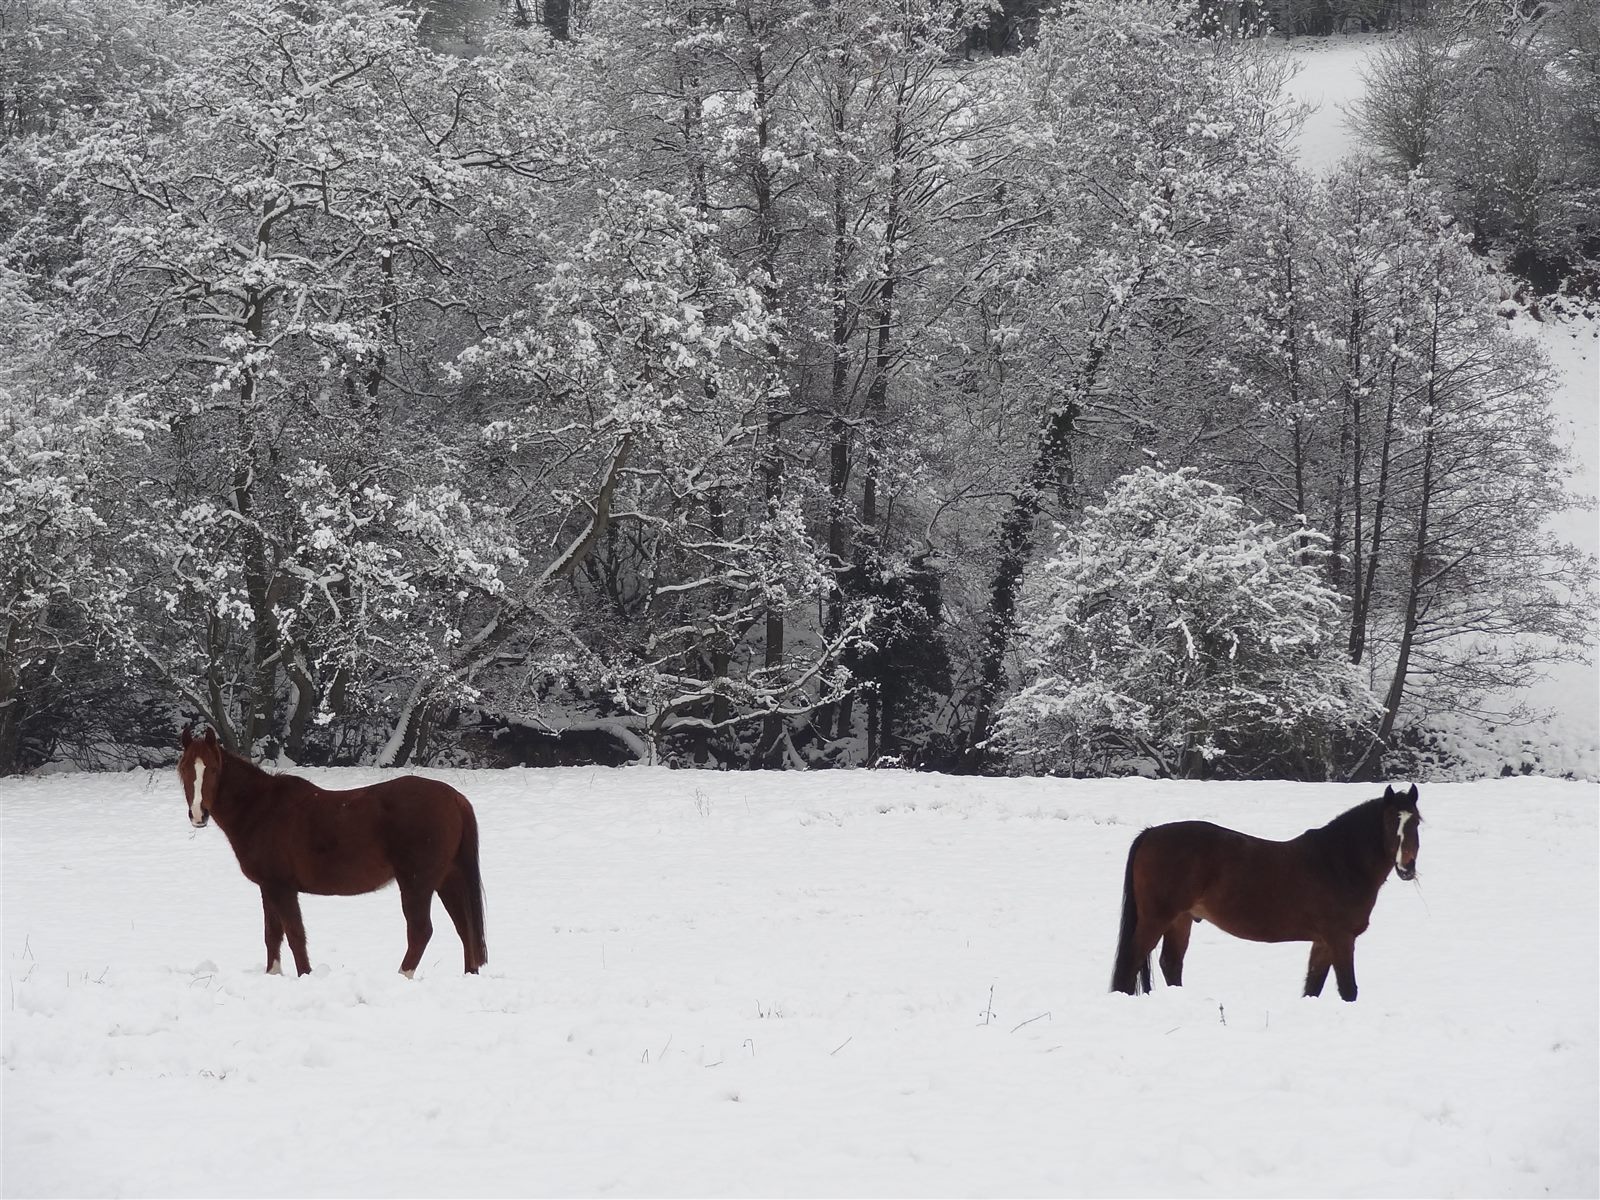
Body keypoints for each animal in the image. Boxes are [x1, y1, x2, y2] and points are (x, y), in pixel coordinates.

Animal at [177, 727, 487, 978]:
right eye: (184, 770)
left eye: (213, 769)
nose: (198, 814)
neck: (262, 809)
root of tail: (455, 799)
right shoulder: (268, 887)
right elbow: (272, 935)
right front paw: (273, 975)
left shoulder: (281, 887)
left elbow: (294, 934)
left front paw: (305, 975)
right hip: (447, 880)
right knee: (465, 928)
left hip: (417, 883)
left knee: (421, 931)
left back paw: (402, 976)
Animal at [1110, 784, 1420, 1002]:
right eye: (1391, 822)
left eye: (1416, 822)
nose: (1407, 867)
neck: (1338, 863)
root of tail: (1150, 833)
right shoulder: (1341, 939)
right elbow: (1348, 989)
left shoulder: (1323, 942)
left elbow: (1313, 987)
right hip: (1156, 919)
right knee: (1131, 962)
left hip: (1180, 920)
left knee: (1171, 963)